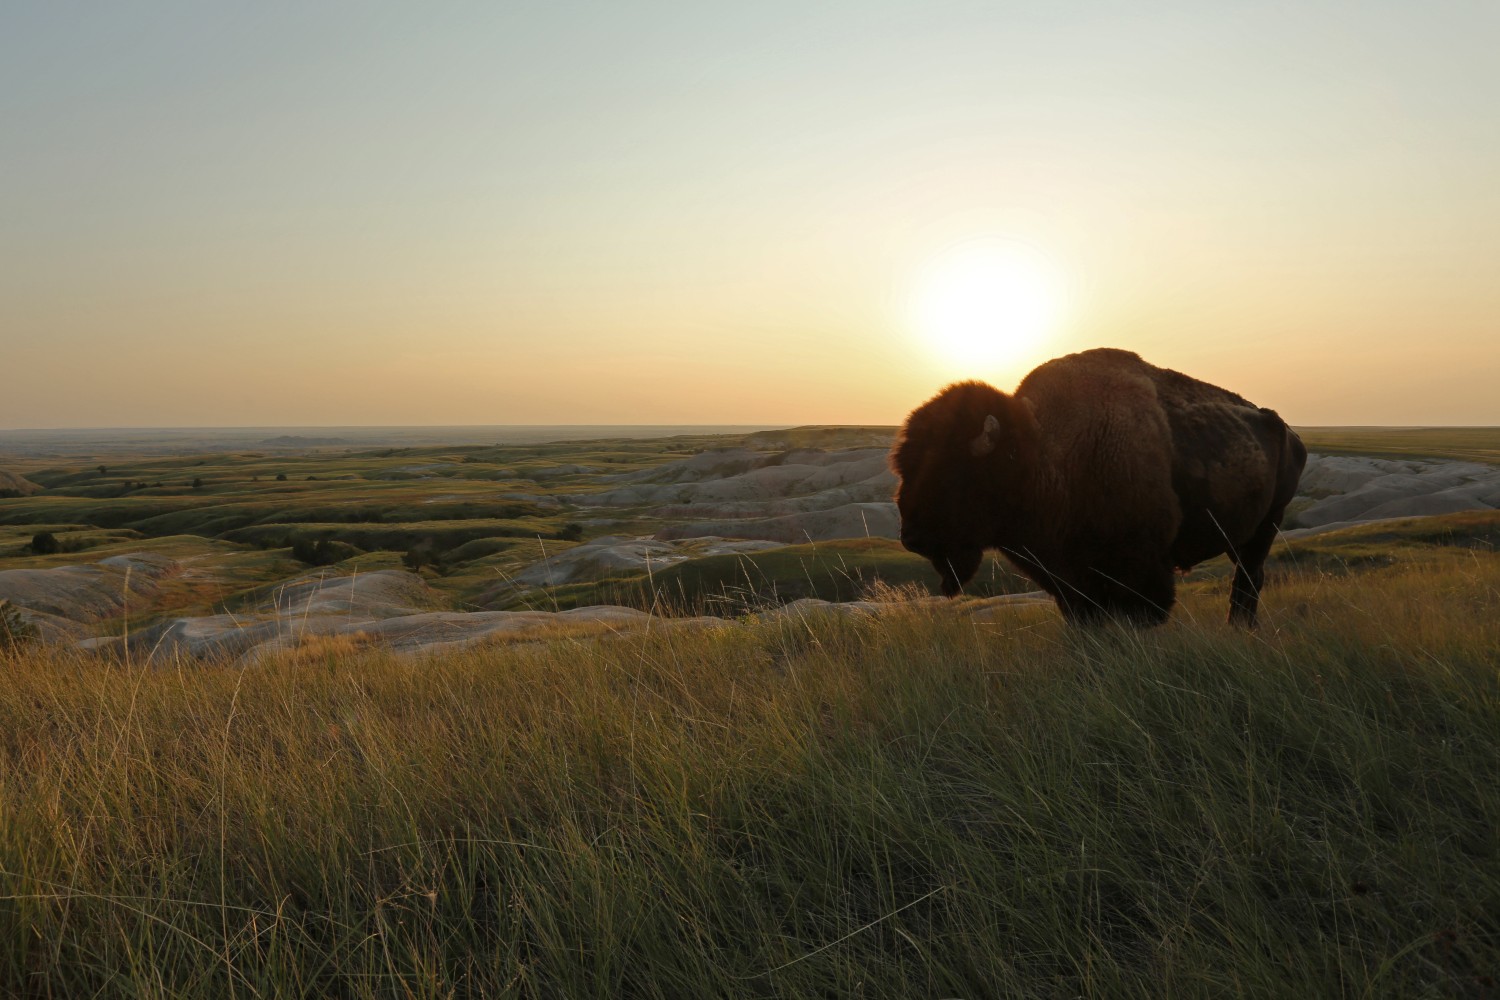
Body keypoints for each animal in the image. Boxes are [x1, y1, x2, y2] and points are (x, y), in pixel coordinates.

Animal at [891, 348, 1306, 627]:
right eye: (904, 469)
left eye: (952, 472)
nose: (911, 537)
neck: (1044, 455)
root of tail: (1288, 432)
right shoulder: (1068, 581)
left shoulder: (1141, 574)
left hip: (1267, 526)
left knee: (1248, 581)